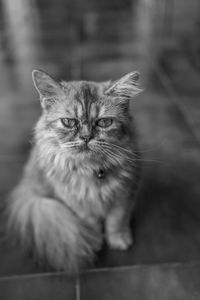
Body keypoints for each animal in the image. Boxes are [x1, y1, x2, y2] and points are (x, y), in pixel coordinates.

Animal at [5, 69, 142, 272]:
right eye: (69, 122)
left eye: (104, 122)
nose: (86, 137)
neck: (91, 168)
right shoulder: (77, 203)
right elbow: (92, 224)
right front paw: (95, 242)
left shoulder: (124, 195)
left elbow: (115, 221)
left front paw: (119, 241)